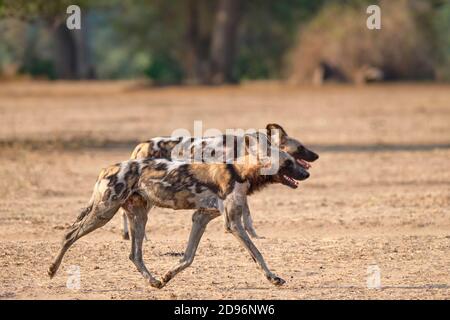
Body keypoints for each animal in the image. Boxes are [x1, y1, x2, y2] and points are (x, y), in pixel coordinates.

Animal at [48, 135, 310, 288]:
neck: (239, 170)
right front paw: (273, 278)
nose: (307, 174)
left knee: (135, 254)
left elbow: (188, 257)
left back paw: (154, 281)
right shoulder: (232, 224)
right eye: (289, 162)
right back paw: (51, 269)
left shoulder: (201, 217)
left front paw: (167, 276)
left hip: (139, 216)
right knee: (69, 235)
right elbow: (257, 253)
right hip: (104, 212)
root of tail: (107, 168)